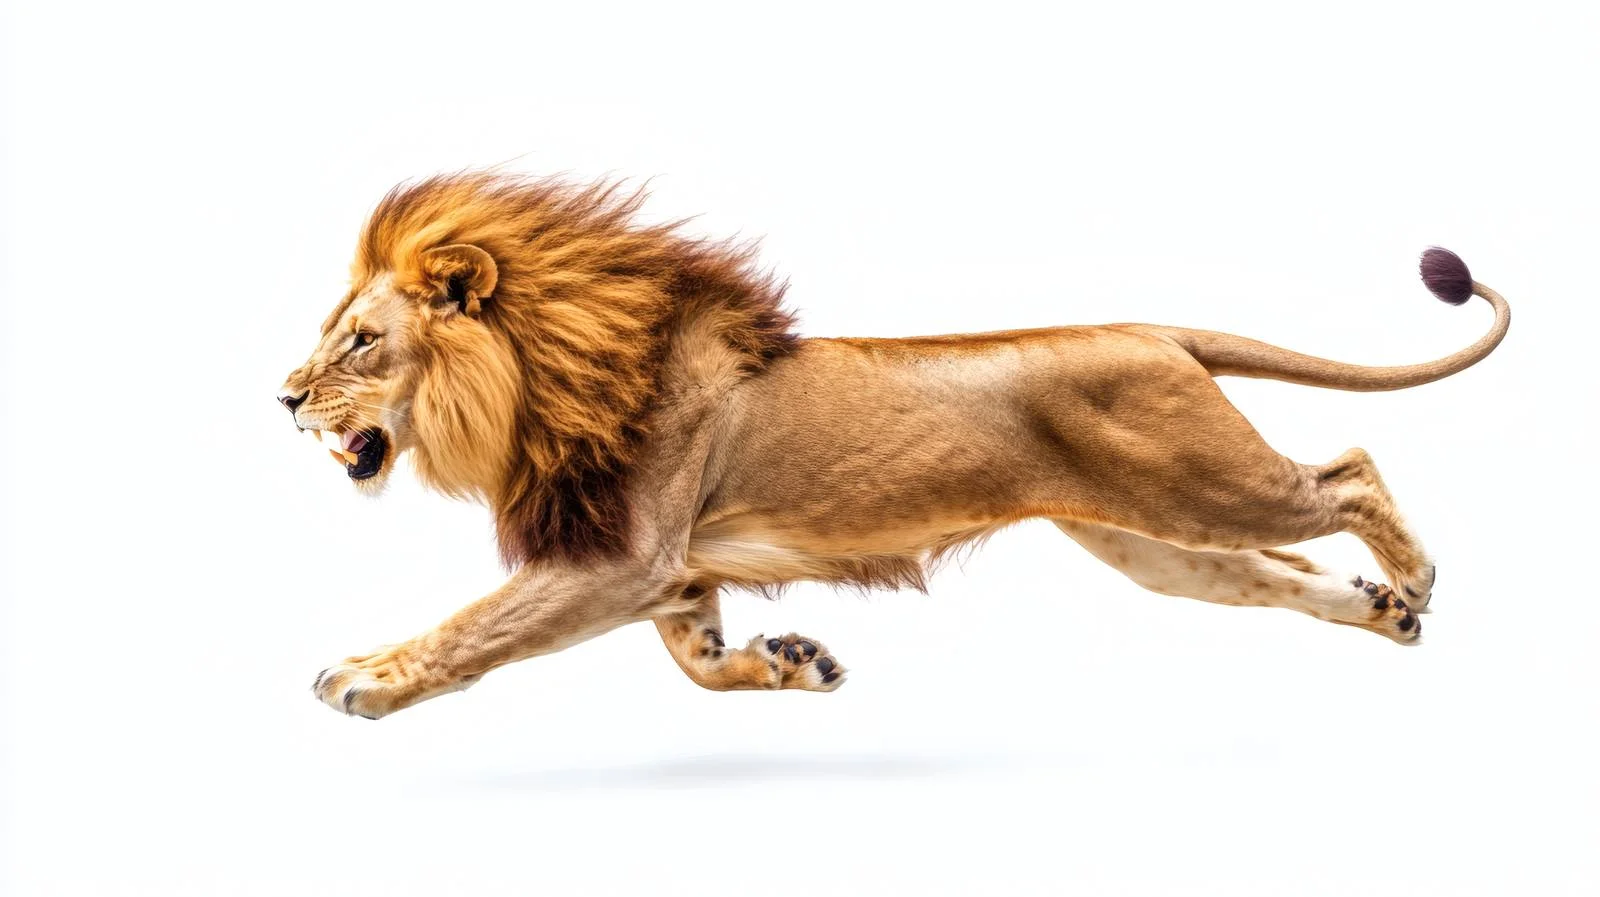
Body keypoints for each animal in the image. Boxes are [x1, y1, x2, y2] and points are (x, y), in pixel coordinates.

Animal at [280, 172, 1510, 719]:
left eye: (360, 339)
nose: (283, 398)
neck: (545, 382)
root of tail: (1152, 328)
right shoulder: (671, 569)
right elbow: (693, 657)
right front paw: (789, 661)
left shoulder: (619, 557)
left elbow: (475, 627)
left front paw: (366, 677)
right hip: (1151, 540)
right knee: (1276, 570)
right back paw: (1383, 610)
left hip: (1200, 486)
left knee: (1347, 471)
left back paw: (1413, 577)